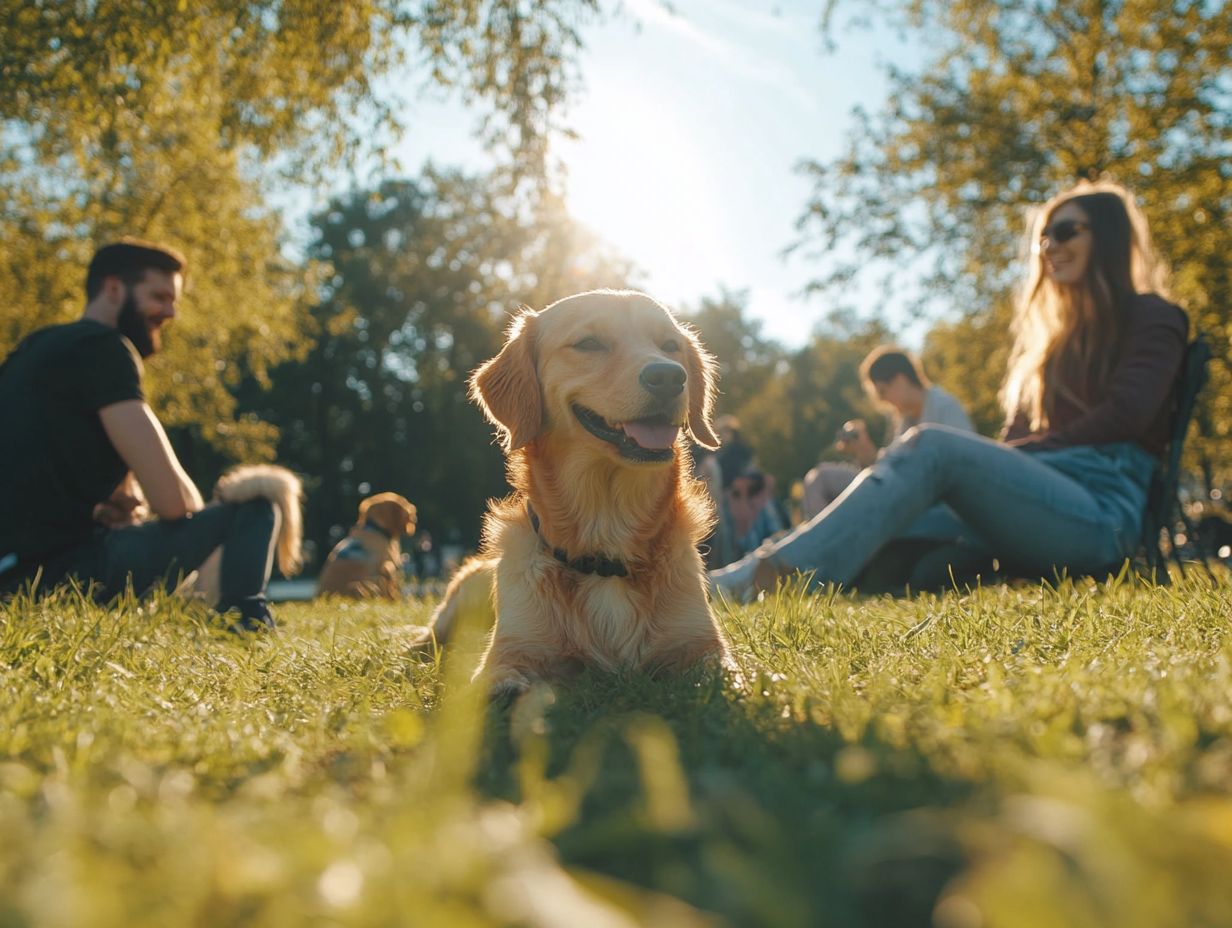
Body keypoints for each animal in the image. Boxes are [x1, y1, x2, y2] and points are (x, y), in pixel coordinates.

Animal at [411, 289, 729, 695]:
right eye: (588, 343)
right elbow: (497, 679)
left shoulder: (702, 644)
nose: (669, 376)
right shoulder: (513, 648)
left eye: (670, 345)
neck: (605, 550)